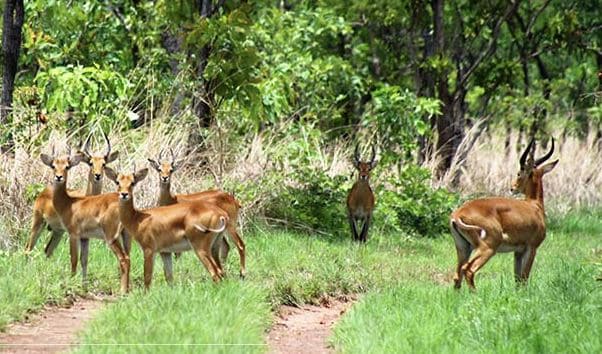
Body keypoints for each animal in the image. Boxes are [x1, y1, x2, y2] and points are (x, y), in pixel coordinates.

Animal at [39, 147, 130, 294]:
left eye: (67, 166)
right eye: (53, 166)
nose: (58, 177)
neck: (69, 203)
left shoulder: (73, 234)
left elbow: (74, 259)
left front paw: (72, 284)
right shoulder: (84, 238)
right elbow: (84, 259)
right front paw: (83, 286)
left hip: (111, 238)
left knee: (124, 259)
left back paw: (122, 291)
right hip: (125, 236)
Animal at [148, 148, 244, 278]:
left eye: (171, 169)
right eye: (159, 169)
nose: (164, 178)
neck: (172, 199)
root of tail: (232, 199)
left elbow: (177, 255)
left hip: (230, 227)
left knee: (240, 244)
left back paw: (242, 273)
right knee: (225, 247)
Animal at [448, 137, 556, 290]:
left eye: (519, 173)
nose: (512, 188)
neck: (534, 206)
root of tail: (458, 214)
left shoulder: (518, 252)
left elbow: (518, 278)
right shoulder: (531, 247)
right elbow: (524, 277)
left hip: (463, 248)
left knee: (457, 276)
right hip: (487, 248)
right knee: (468, 270)